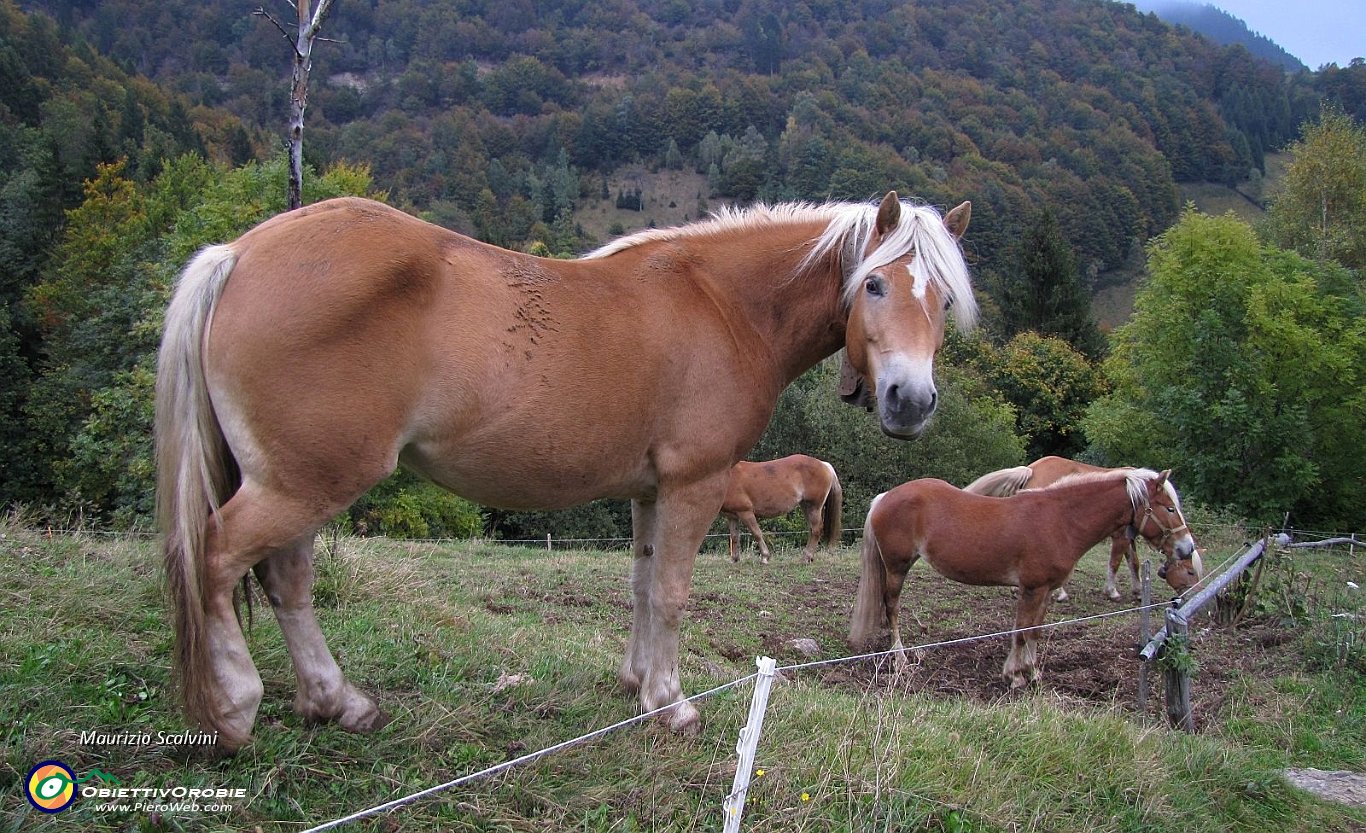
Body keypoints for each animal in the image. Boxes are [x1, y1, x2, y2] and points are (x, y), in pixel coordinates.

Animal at [155, 191, 978, 748]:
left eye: (942, 300)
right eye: (874, 283)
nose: (910, 401)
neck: (722, 305)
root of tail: (238, 254)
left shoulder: (650, 491)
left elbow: (642, 586)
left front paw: (635, 684)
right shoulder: (695, 485)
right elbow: (673, 593)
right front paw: (671, 704)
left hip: (303, 482)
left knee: (286, 579)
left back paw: (337, 702)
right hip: (303, 484)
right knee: (215, 559)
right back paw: (234, 710)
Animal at [852, 467, 1185, 688]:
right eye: (1169, 508)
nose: (1185, 548)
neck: (1061, 520)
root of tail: (885, 497)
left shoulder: (1046, 590)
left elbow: (1034, 631)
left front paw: (1032, 672)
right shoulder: (1032, 589)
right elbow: (1022, 631)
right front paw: (1015, 676)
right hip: (897, 567)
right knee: (892, 607)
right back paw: (900, 659)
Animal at [967, 453, 1202, 595]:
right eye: (1170, 508)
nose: (1187, 546)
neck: (1130, 495)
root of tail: (1031, 469)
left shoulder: (1129, 535)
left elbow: (1133, 561)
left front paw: (1137, 590)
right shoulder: (1120, 536)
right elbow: (1115, 561)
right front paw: (1112, 591)